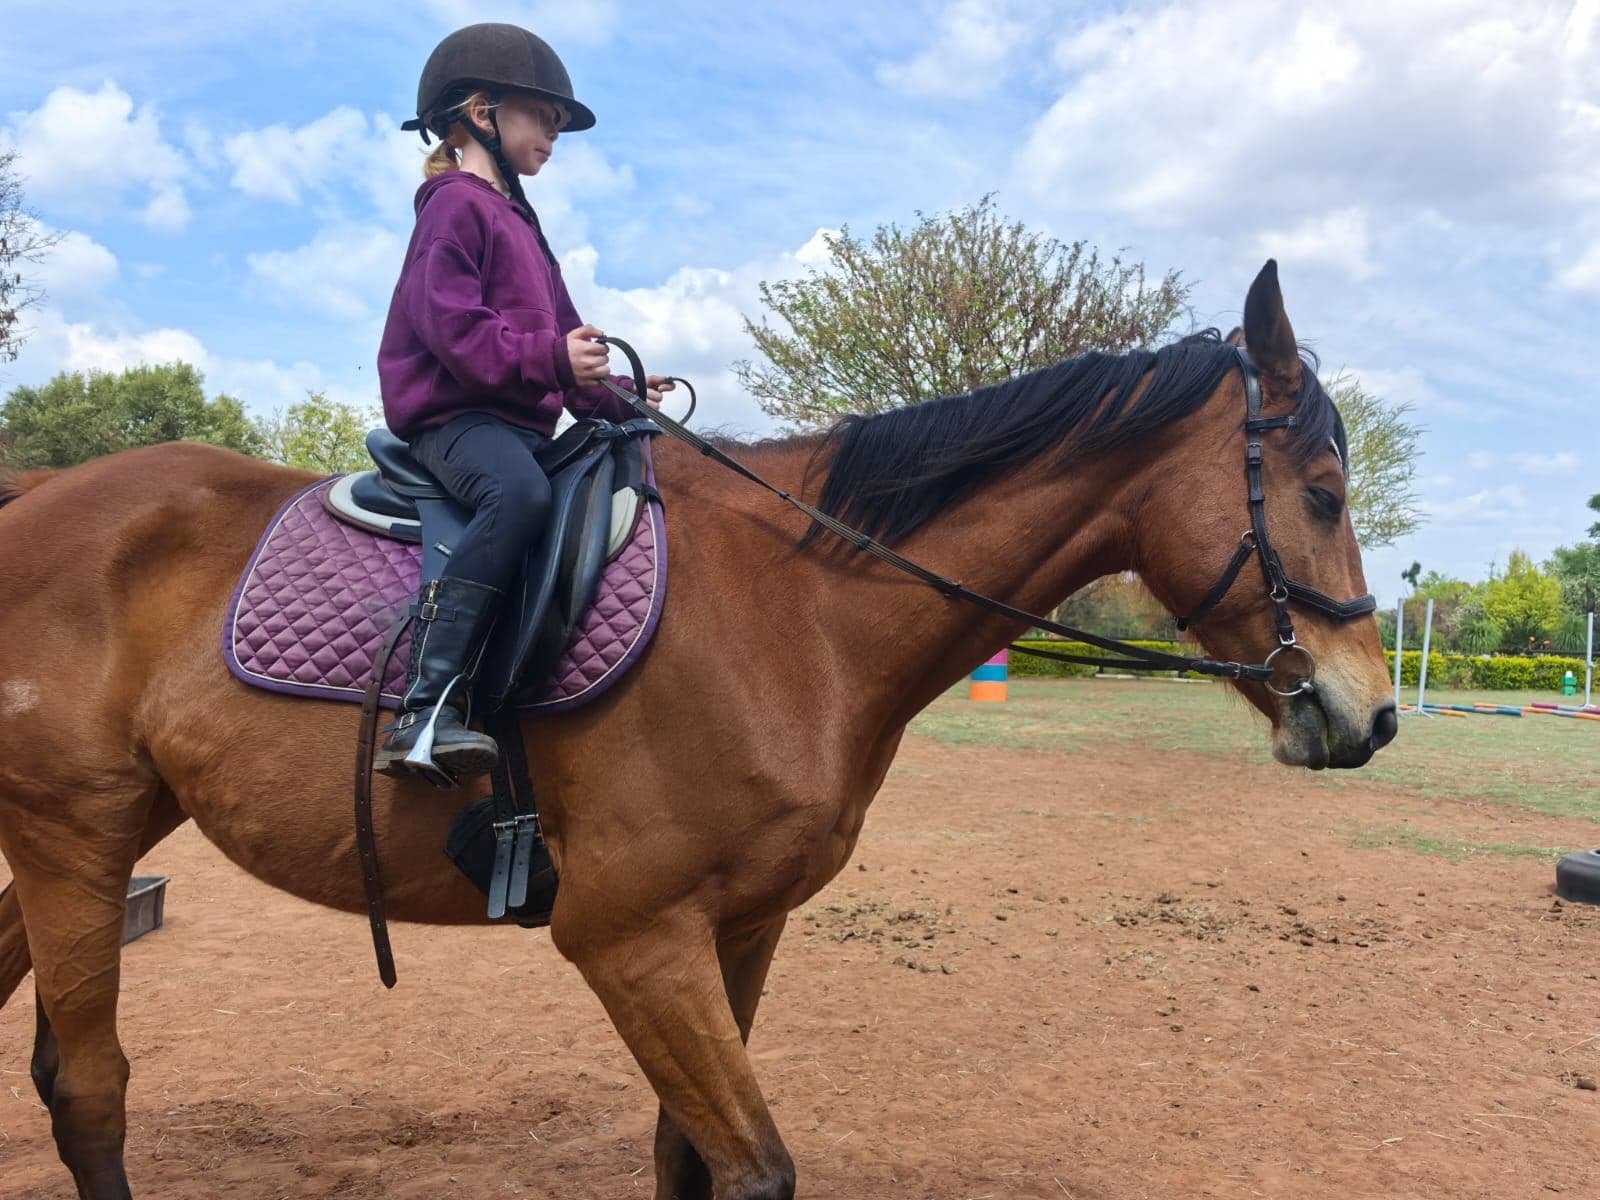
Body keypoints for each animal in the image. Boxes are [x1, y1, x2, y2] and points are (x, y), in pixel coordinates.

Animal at [0, 261, 1395, 1199]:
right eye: (1324, 493)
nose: (1372, 715)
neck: (798, 611)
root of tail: (40, 493)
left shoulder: (737, 930)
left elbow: (688, 1163)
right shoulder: (632, 939)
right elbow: (755, 1169)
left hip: (96, 834)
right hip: (74, 837)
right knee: (93, 1088)